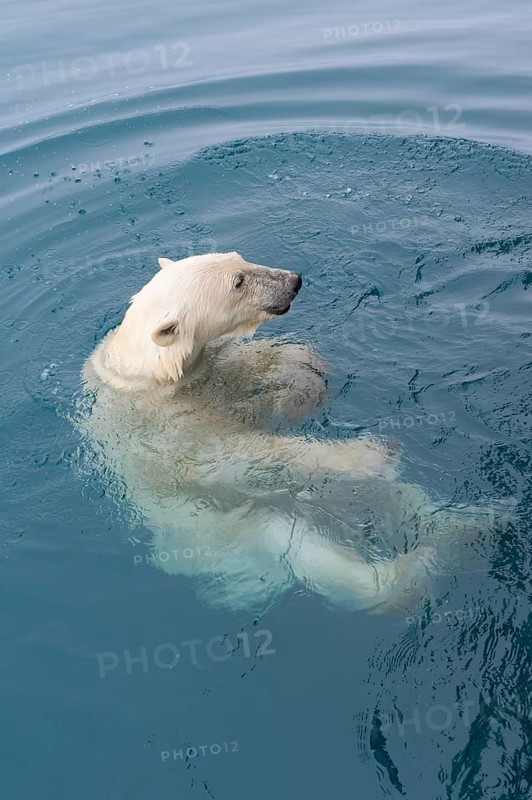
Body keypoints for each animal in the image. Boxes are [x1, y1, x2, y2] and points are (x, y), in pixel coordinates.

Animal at [78, 251, 485, 612]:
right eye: (238, 282)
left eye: (239, 258)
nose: (294, 280)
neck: (150, 373)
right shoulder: (166, 430)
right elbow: (240, 455)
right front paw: (370, 451)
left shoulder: (210, 371)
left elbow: (262, 369)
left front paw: (304, 380)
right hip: (241, 529)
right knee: (318, 555)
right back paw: (412, 561)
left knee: (401, 497)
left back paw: (468, 523)